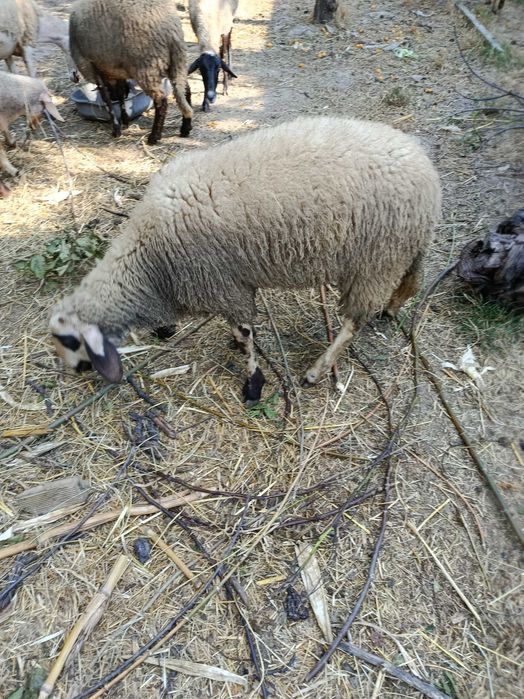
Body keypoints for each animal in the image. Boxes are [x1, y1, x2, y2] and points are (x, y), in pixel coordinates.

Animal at [49, 116, 441, 404]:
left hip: (376, 260)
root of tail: (429, 176)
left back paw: (317, 370)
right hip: (392, 255)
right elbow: (239, 330)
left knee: (352, 324)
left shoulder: (224, 285)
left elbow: (246, 332)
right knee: (404, 287)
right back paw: (390, 310)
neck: (148, 263)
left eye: (70, 341)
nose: (71, 372)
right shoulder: (227, 284)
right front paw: (237, 351)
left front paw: (253, 383)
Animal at [69, 0, 192, 144]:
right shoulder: (117, 70)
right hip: (175, 61)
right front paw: (125, 119)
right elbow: (121, 94)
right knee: (185, 90)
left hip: (147, 67)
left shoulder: (91, 67)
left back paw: (154, 137)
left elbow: (107, 100)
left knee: (161, 101)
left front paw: (116, 130)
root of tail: (172, 30)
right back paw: (185, 128)